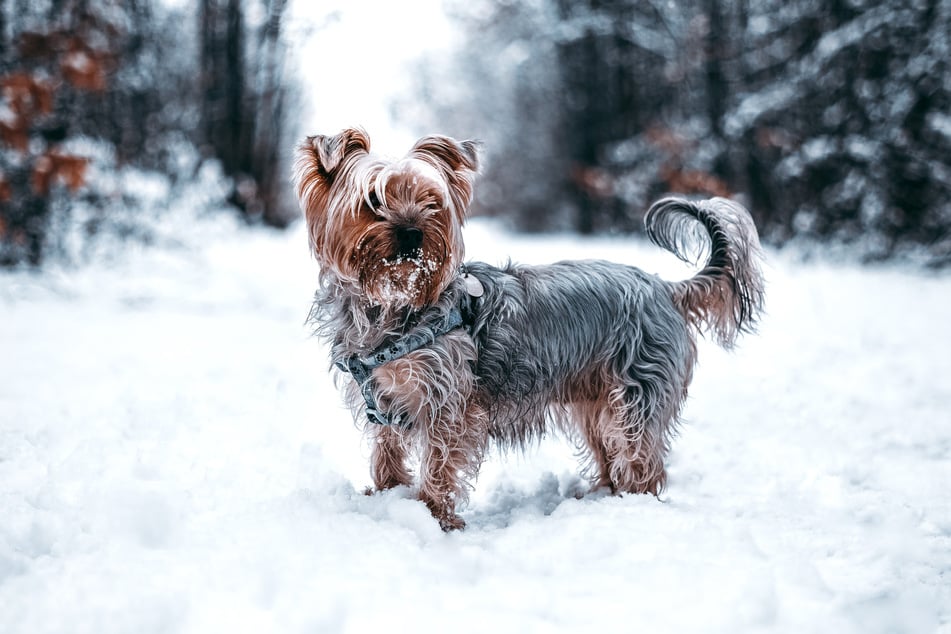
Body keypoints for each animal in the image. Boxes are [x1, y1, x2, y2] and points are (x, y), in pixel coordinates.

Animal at [298, 128, 768, 528]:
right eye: (372, 200)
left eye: (431, 202)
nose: (413, 232)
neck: (394, 305)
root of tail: (665, 288)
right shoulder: (384, 397)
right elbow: (387, 451)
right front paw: (387, 495)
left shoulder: (447, 402)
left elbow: (440, 462)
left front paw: (434, 517)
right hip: (595, 399)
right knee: (610, 451)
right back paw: (601, 497)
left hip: (636, 392)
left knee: (640, 457)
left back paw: (633, 506)